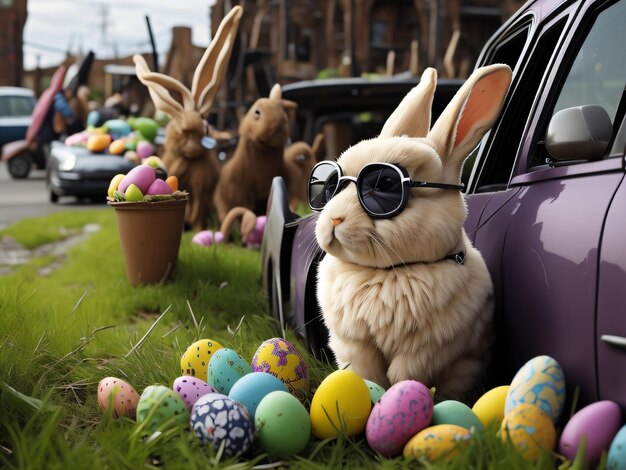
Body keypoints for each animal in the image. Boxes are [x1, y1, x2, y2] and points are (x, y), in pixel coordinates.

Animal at [314, 64, 510, 398]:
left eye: (384, 184)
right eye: (330, 185)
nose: (334, 220)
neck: (383, 273)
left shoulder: (425, 349)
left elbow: (404, 375)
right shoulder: (355, 345)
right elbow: (365, 373)